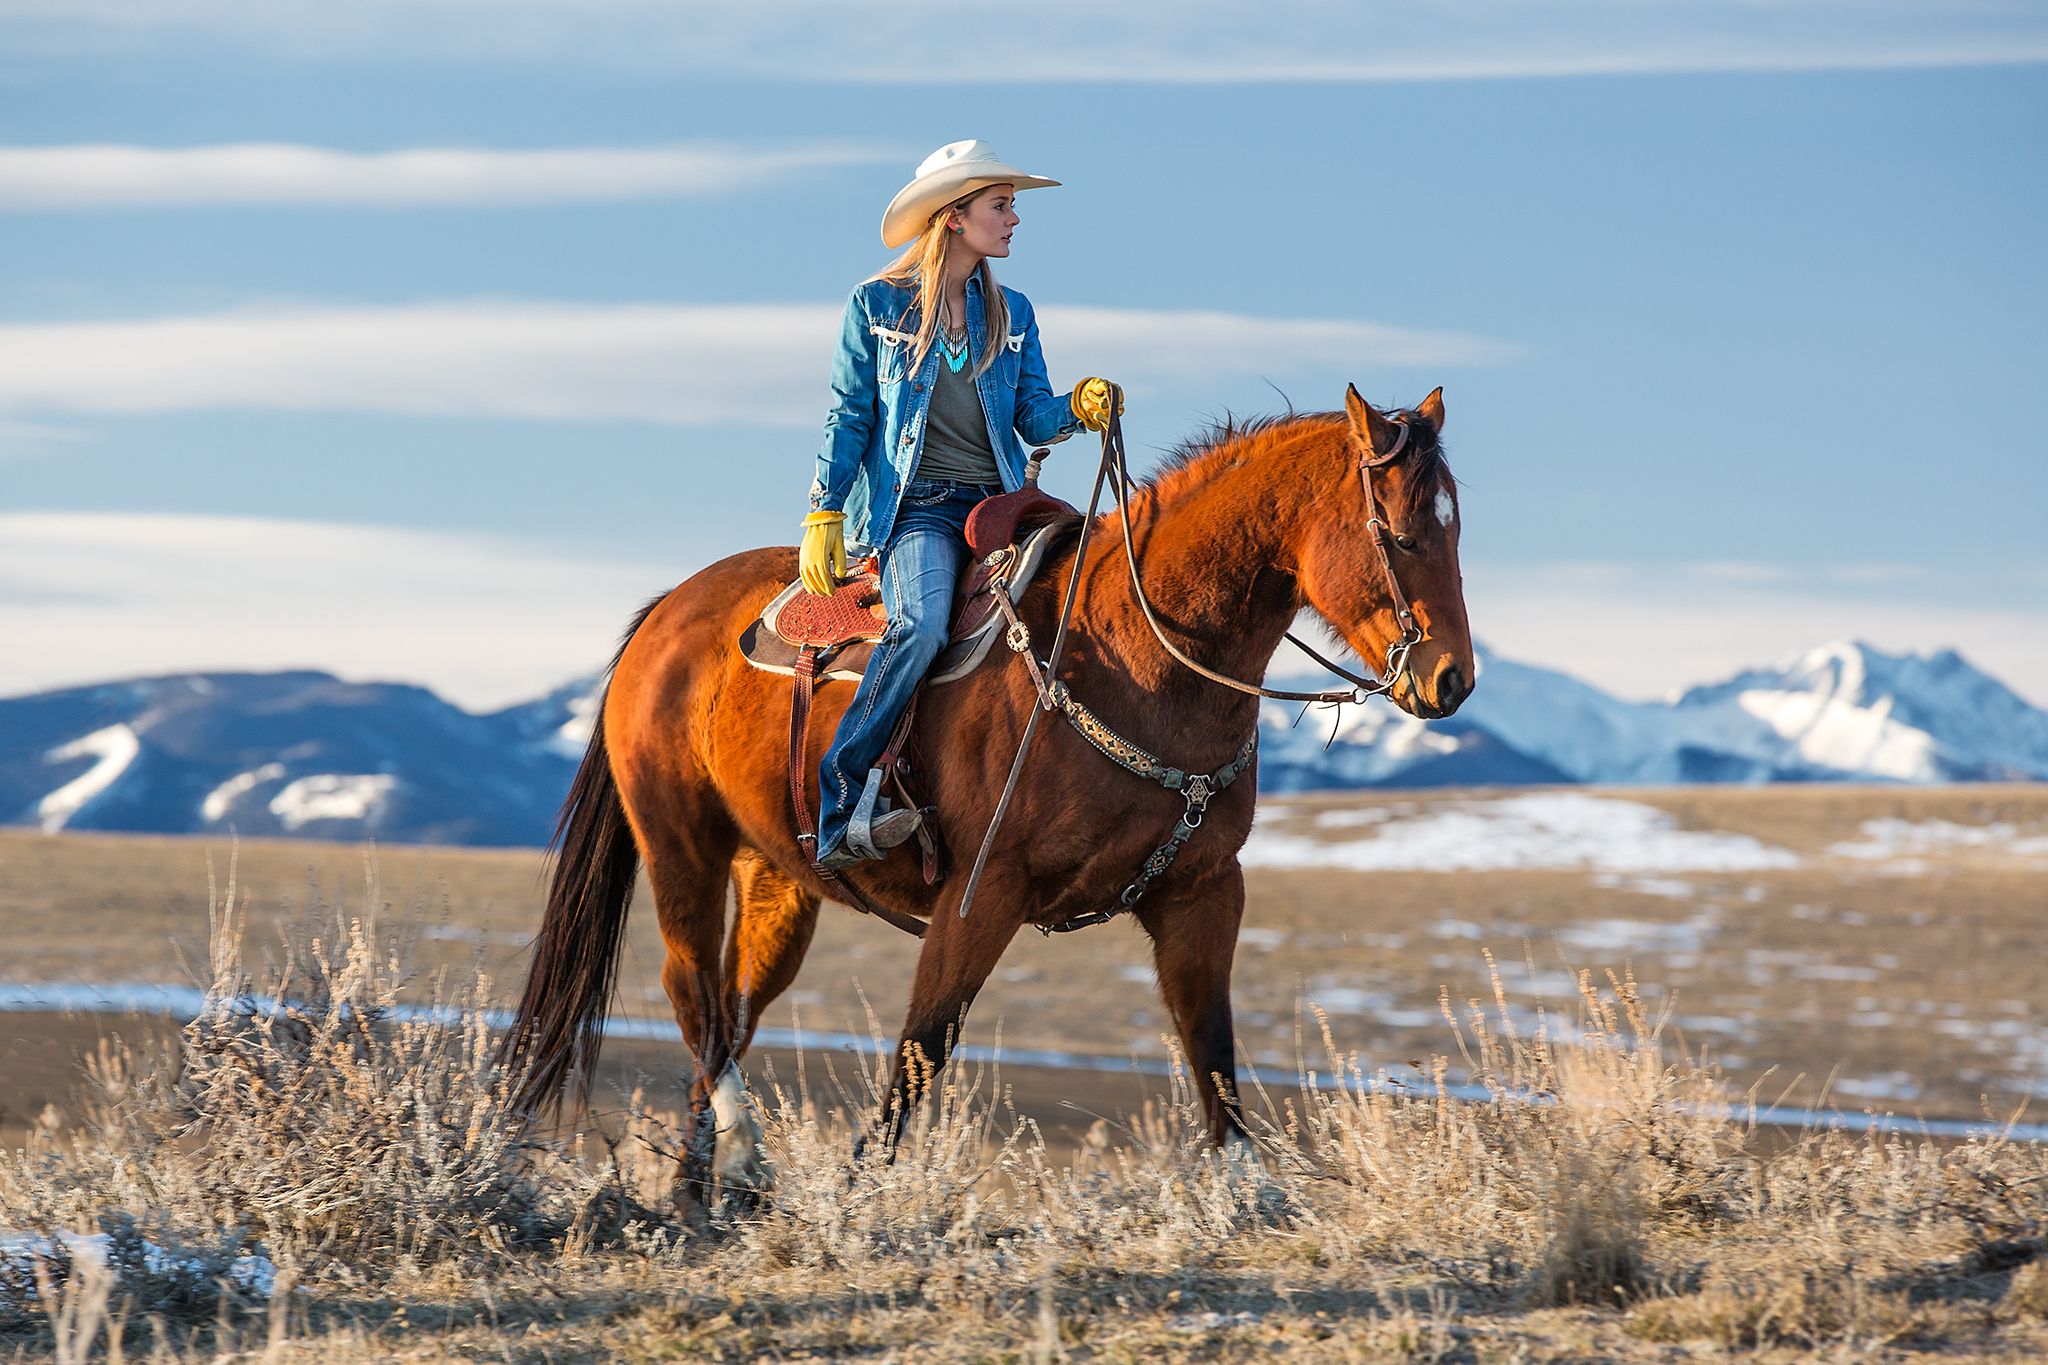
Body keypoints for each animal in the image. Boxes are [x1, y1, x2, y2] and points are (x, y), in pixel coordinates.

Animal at [507, 382, 1474, 1186]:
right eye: (1398, 531)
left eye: (1457, 527)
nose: (1451, 679)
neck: (1140, 654)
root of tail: (665, 613)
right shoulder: (984, 891)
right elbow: (922, 1049)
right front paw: (861, 1198)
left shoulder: (1203, 891)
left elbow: (1213, 1054)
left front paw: (1256, 1197)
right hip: (682, 846)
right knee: (691, 994)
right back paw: (743, 1155)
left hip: (777, 878)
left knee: (734, 1010)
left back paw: (704, 1192)